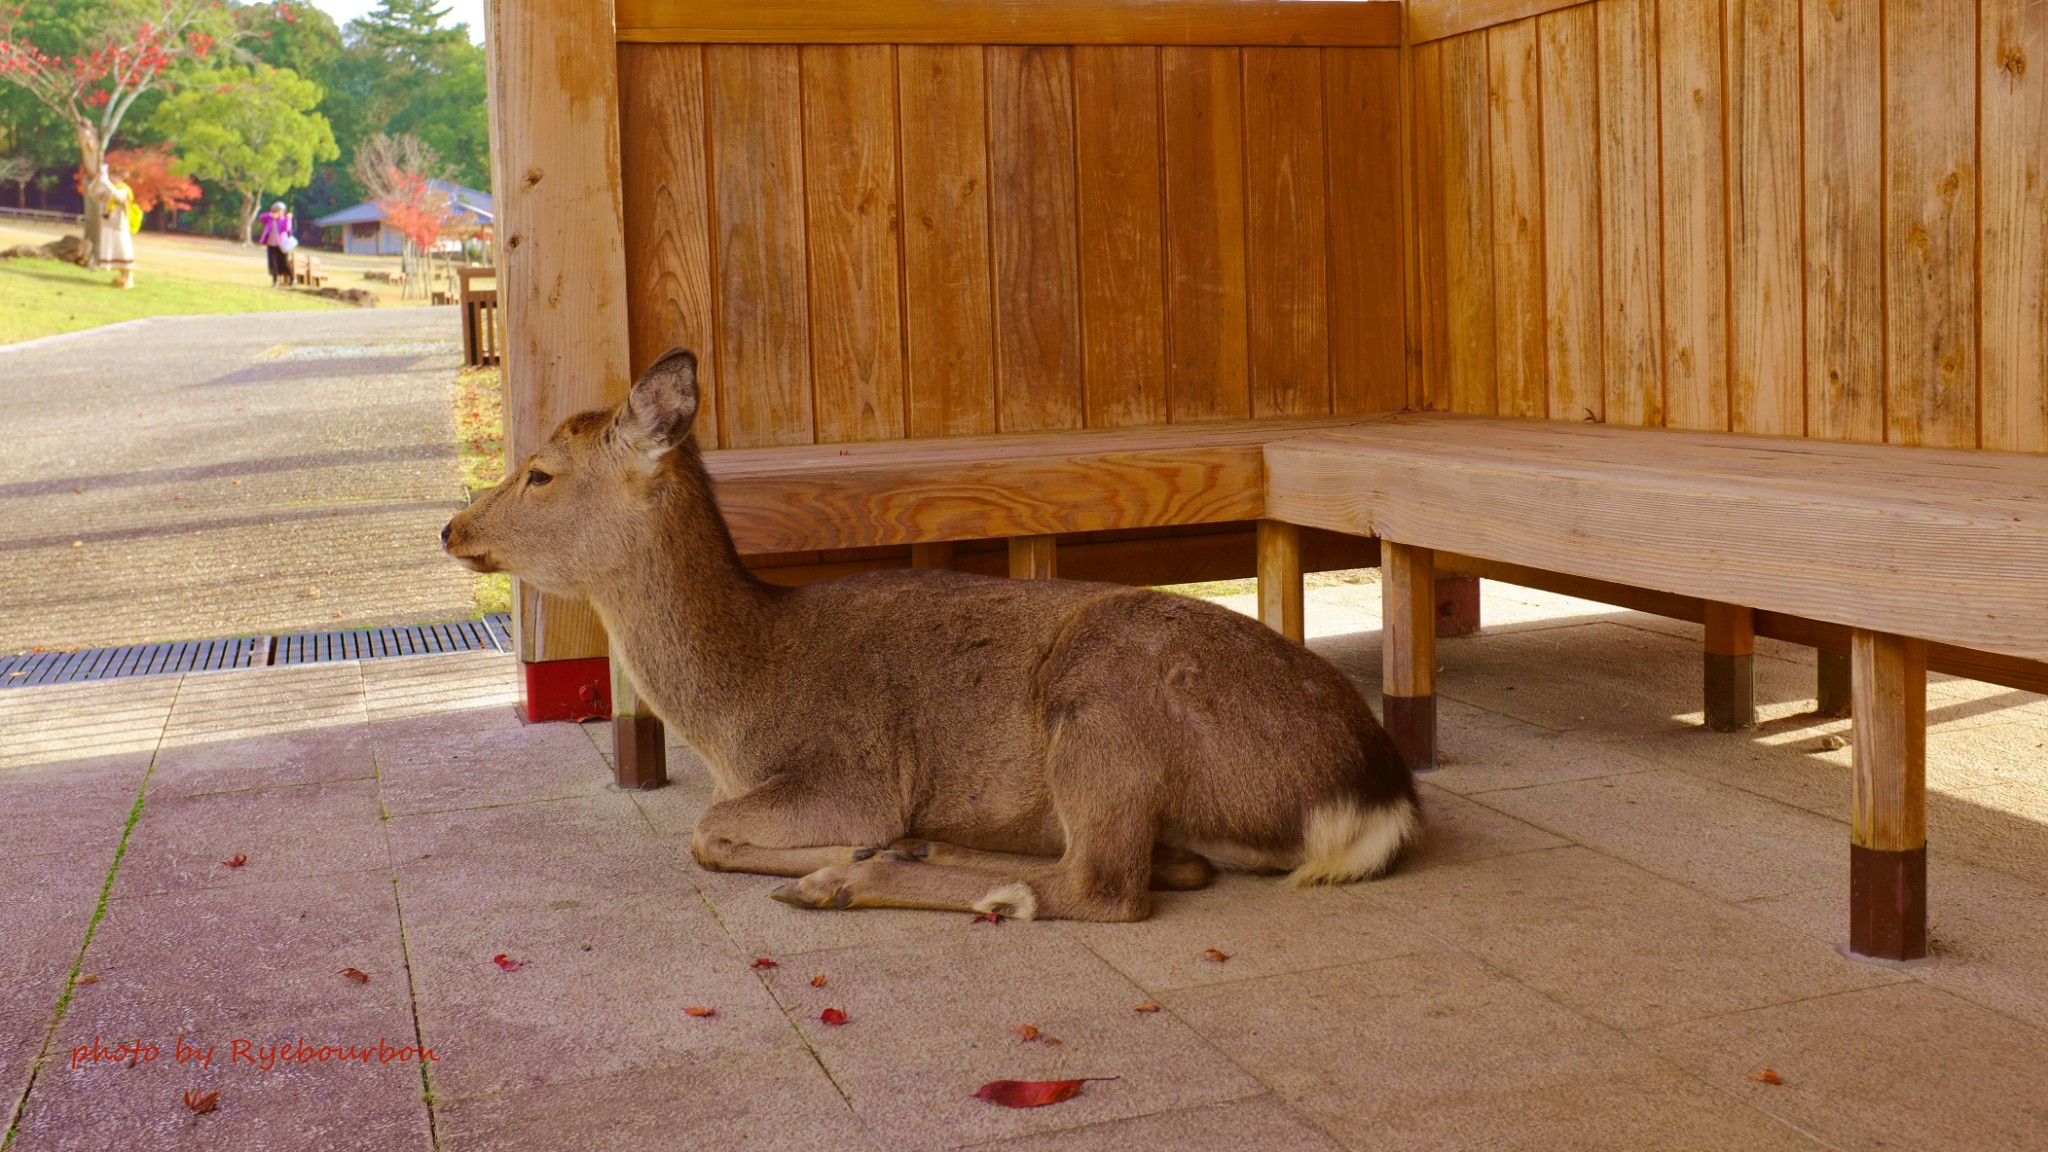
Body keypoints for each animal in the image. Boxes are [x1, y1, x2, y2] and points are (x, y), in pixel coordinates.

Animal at [440, 344, 1417, 918]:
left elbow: (707, 831)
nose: (453, 528)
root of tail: (1374, 795)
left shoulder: (847, 771)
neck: (739, 708)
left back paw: (861, 878)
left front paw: (845, 852)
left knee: (1105, 885)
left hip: (1105, 700)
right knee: (1153, 866)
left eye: (539, 473)